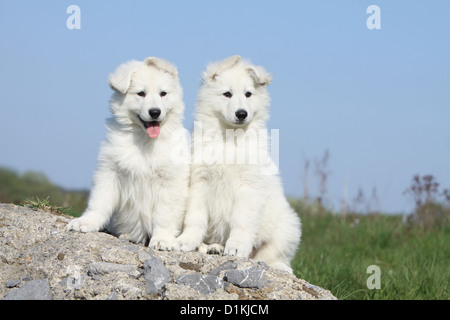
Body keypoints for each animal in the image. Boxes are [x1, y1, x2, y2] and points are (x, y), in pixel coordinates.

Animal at [67, 57, 191, 251]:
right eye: (141, 94)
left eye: (163, 93)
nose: (155, 112)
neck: (144, 139)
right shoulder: (109, 171)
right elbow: (99, 201)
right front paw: (86, 222)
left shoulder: (171, 180)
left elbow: (164, 215)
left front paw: (162, 239)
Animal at [174, 55, 300, 272]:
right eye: (227, 94)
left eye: (249, 94)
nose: (241, 114)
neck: (230, 137)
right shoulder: (200, 181)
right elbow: (194, 217)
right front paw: (186, 241)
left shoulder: (248, 186)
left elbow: (242, 221)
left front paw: (237, 247)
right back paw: (213, 247)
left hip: (287, 225)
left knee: (271, 254)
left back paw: (278, 266)